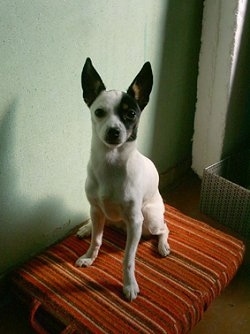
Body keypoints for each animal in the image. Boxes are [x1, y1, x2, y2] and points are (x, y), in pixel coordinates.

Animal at [75, 57, 171, 300]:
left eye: (131, 114)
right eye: (99, 112)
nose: (114, 131)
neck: (111, 164)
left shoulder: (135, 221)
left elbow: (128, 259)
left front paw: (129, 285)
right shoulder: (96, 208)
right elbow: (97, 240)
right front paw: (89, 256)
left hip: (149, 220)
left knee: (165, 228)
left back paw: (163, 246)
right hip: (103, 215)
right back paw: (87, 228)